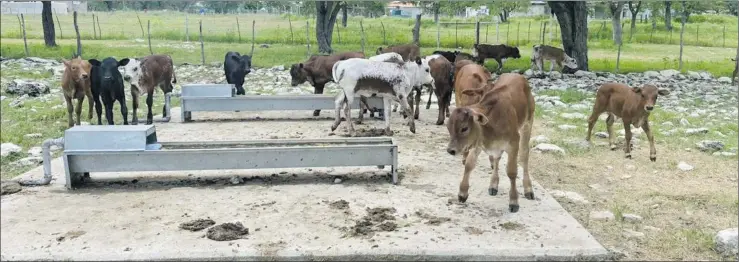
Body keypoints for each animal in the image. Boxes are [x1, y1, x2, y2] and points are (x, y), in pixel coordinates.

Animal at [448, 73, 536, 213]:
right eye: (449, 127)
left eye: (464, 128)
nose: (451, 150)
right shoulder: (478, 143)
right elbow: (469, 165)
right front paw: (462, 193)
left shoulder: (513, 142)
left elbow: (512, 172)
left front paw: (514, 201)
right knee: (497, 159)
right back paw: (493, 184)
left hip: (528, 123)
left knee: (524, 156)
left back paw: (528, 189)